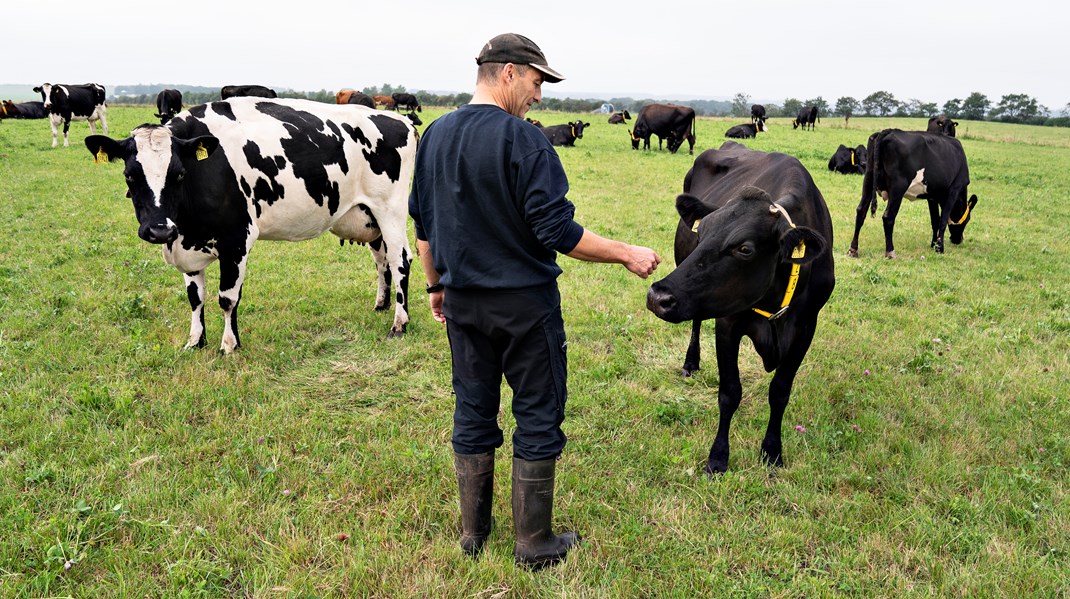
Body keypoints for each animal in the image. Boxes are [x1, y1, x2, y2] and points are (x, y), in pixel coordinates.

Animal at [84, 95, 417, 352]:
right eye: (130, 175)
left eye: (178, 173)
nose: (158, 230)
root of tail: (400, 120)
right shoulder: (186, 241)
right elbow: (195, 298)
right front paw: (195, 342)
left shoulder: (236, 239)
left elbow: (227, 298)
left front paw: (229, 345)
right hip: (368, 216)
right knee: (382, 259)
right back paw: (381, 304)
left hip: (390, 210)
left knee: (400, 260)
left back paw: (399, 323)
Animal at [642, 139, 834, 472]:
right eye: (701, 233)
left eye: (745, 249)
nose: (658, 297)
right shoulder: (727, 323)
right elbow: (730, 393)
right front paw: (718, 458)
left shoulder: (806, 326)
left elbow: (780, 391)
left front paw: (772, 451)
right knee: (696, 322)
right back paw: (690, 362)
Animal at [847, 128, 980, 257]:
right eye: (968, 220)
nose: (958, 240)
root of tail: (888, 130)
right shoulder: (953, 190)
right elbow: (943, 220)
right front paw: (940, 248)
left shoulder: (932, 196)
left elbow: (935, 220)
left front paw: (933, 245)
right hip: (898, 187)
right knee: (888, 217)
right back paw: (890, 252)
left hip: (868, 180)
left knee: (861, 211)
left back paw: (853, 250)